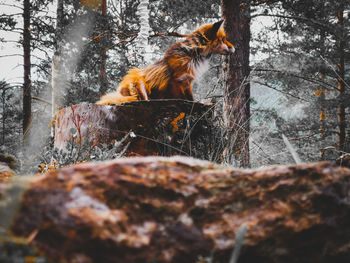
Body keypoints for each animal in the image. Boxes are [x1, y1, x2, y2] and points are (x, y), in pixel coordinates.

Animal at [96, 20, 235, 105]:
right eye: (222, 40)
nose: (234, 48)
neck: (192, 55)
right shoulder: (177, 81)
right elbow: (186, 100)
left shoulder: (188, 81)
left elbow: (191, 99)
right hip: (139, 85)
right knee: (141, 99)